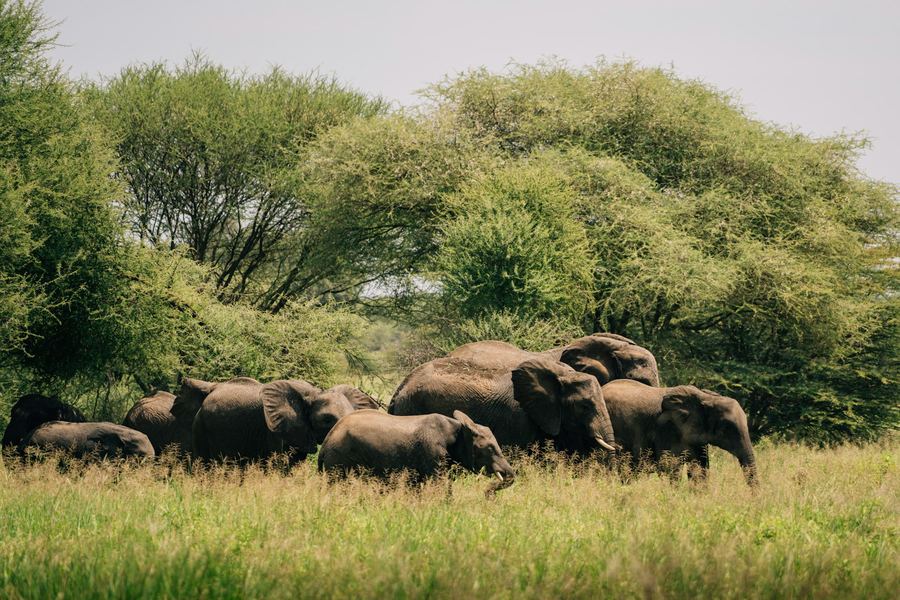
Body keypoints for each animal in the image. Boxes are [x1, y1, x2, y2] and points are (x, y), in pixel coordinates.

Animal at [318, 409, 516, 488]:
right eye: (489, 448)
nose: (488, 494)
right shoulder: (433, 453)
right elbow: (440, 486)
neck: (458, 427)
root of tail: (327, 439)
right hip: (339, 459)